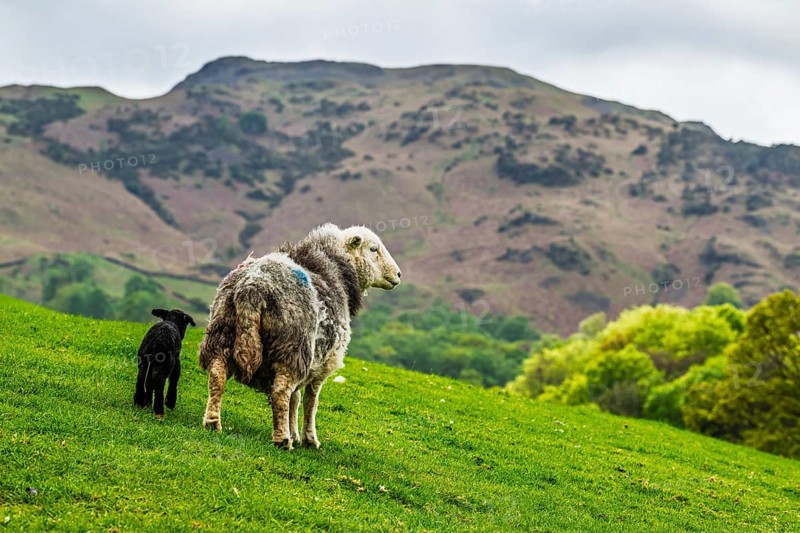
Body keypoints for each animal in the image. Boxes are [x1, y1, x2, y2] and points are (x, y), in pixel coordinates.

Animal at [199, 224, 401, 449]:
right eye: (374, 249)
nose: (398, 274)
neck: (339, 270)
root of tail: (252, 288)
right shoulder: (323, 364)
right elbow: (311, 401)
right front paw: (309, 439)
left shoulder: (309, 362)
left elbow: (294, 399)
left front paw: (295, 432)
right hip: (292, 348)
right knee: (280, 392)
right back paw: (282, 440)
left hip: (222, 332)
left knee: (217, 374)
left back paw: (212, 423)